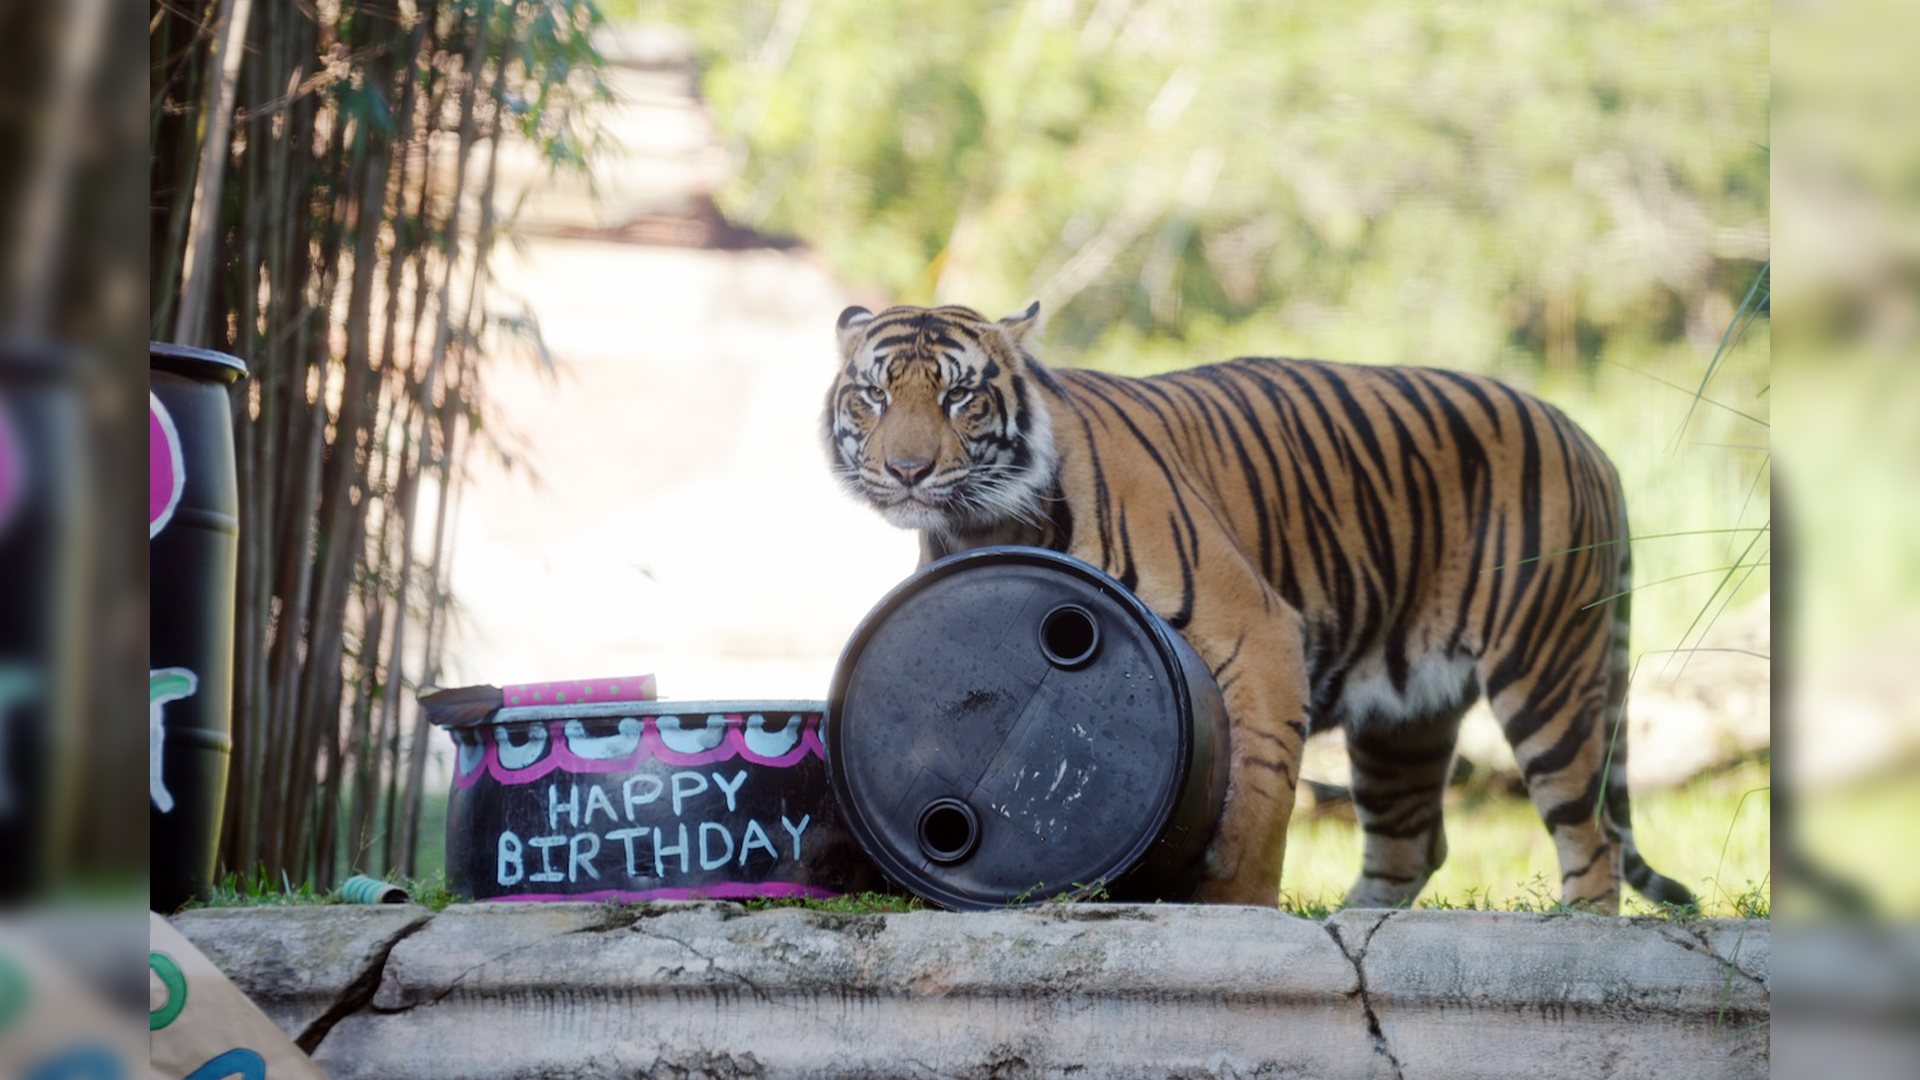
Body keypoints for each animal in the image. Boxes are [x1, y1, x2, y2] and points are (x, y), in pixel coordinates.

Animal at [822, 301, 1694, 912]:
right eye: (872, 396)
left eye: (960, 397)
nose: (906, 470)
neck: (988, 520)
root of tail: (1585, 436)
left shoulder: (1260, 633)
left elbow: (1261, 794)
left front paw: (1238, 903)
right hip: (1404, 719)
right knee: (1412, 844)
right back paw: (1350, 920)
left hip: (1547, 674)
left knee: (1593, 835)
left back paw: (1578, 925)